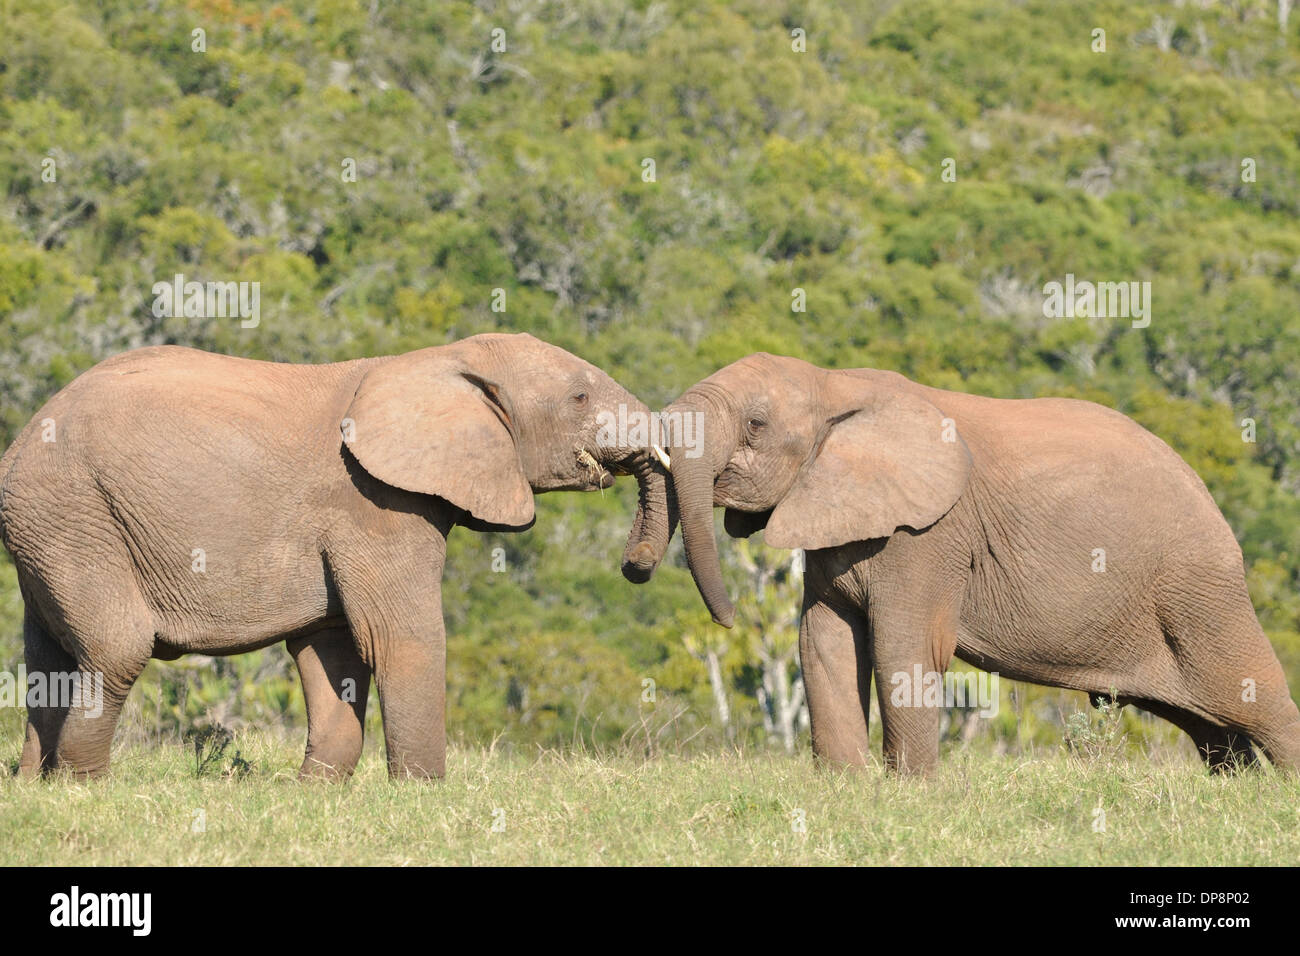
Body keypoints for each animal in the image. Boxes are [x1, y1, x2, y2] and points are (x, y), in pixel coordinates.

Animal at [0, 332, 670, 780]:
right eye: (580, 397)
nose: (634, 567)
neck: (439, 359)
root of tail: (25, 435)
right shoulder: (372, 501)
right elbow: (400, 638)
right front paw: (423, 797)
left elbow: (334, 649)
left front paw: (315, 794)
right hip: (75, 513)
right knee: (117, 646)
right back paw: (85, 785)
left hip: (48, 530)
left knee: (50, 656)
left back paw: (38, 786)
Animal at [626, 351, 1300, 780]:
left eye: (755, 424)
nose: (635, 567)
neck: (835, 383)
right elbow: (823, 642)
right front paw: (843, 789)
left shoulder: (928, 535)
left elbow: (904, 649)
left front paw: (910, 793)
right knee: (1214, 730)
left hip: (1198, 590)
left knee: (1253, 695)